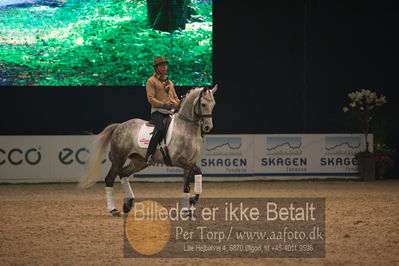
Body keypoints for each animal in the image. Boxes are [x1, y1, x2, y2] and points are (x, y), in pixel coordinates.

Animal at [79, 85, 217, 216]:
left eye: (213, 104)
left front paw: (186, 210)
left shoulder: (190, 161)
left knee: (123, 174)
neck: (186, 128)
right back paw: (113, 210)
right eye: (203, 104)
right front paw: (194, 199)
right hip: (119, 158)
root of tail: (119, 126)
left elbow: (186, 186)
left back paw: (128, 204)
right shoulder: (178, 160)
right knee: (110, 179)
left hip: (139, 162)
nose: (208, 127)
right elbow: (198, 171)